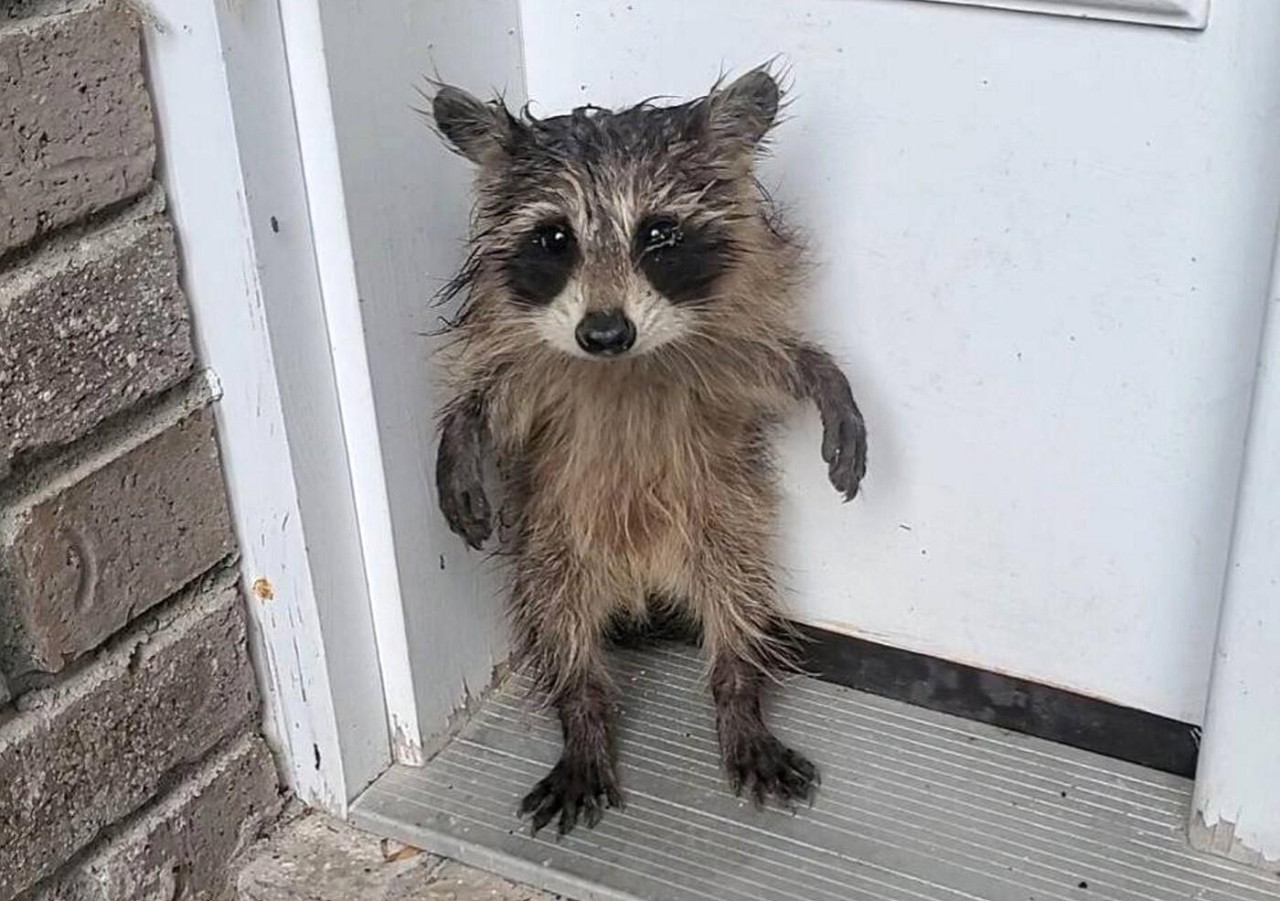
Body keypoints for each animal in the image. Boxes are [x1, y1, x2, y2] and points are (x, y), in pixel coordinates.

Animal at [429, 64, 867, 835]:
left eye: (658, 232)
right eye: (554, 237)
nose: (604, 334)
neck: (625, 366)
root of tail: (643, 583)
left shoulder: (724, 356)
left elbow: (779, 364)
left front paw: (826, 378)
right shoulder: (533, 370)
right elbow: (491, 399)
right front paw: (460, 433)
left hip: (722, 520)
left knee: (739, 601)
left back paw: (738, 692)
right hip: (555, 539)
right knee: (557, 619)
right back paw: (582, 714)